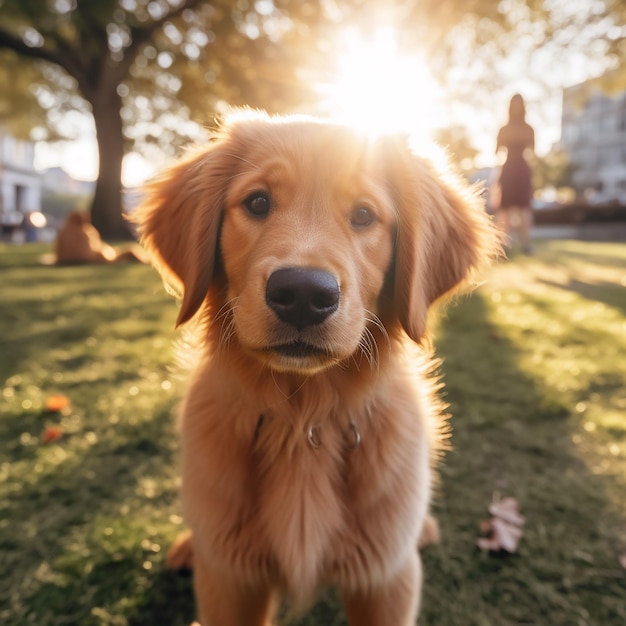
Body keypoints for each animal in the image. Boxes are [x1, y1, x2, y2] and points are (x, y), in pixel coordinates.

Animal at [135, 112, 498, 624]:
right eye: (258, 202)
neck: (301, 422)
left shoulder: (387, 579)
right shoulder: (230, 581)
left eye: (364, 215)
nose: (303, 294)